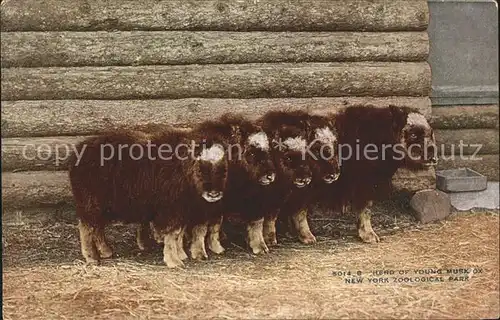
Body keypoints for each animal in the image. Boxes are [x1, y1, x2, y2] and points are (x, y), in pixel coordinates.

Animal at [68, 127, 229, 268]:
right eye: (201, 169)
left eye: (224, 170)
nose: (214, 194)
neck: (182, 168)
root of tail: (78, 155)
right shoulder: (171, 211)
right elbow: (172, 234)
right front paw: (174, 261)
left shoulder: (181, 211)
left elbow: (178, 234)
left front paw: (180, 255)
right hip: (91, 204)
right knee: (87, 228)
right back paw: (92, 258)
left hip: (102, 207)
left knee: (97, 227)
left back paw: (106, 251)